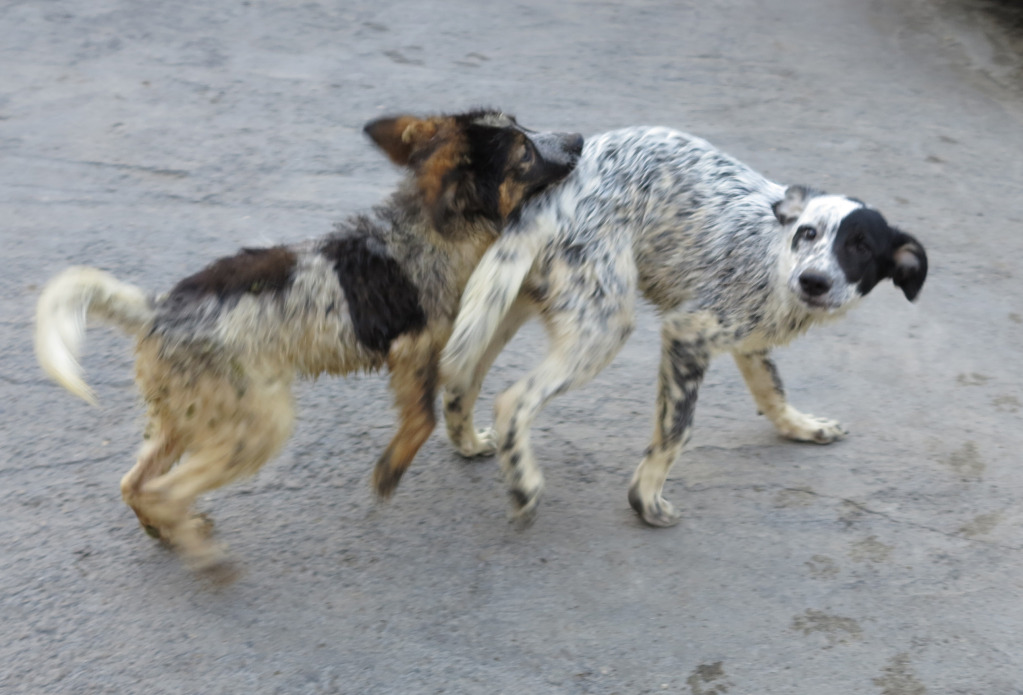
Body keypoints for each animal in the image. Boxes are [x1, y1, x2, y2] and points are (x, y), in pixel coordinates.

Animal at [439, 126, 928, 528]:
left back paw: (469, 442)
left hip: (506, 301)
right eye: (807, 233)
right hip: (603, 325)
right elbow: (676, 431)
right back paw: (524, 485)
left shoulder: (748, 341)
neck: (774, 256)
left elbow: (772, 392)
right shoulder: (687, 334)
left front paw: (803, 427)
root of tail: (558, 190)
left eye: (861, 248)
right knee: (510, 400)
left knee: (459, 378)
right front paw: (645, 499)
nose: (813, 281)